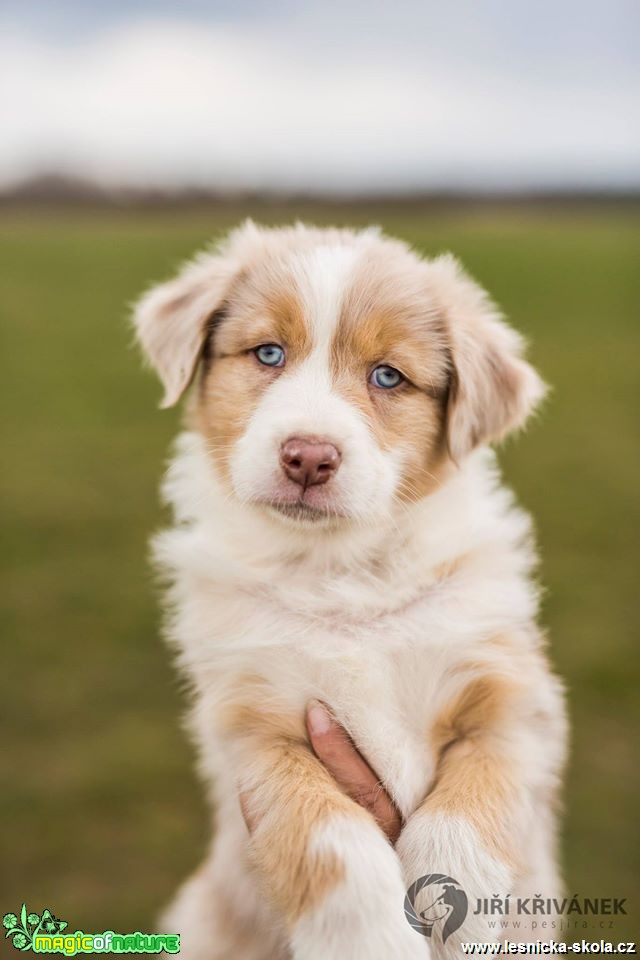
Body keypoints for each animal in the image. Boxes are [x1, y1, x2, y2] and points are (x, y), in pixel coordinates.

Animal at [134, 221, 564, 956]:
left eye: (388, 375)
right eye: (268, 353)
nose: (308, 456)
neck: (342, 575)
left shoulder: (514, 700)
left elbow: (471, 804)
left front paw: (459, 914)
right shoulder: (256, 730)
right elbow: (330, 838)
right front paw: (374, 938)